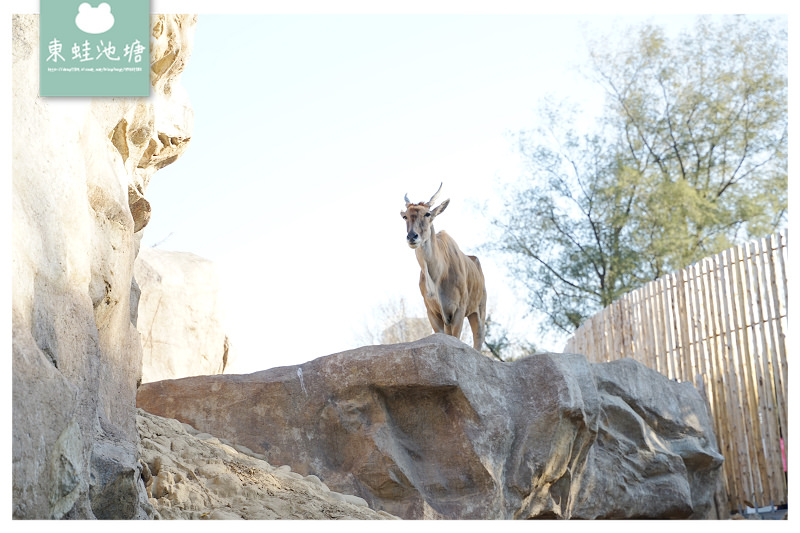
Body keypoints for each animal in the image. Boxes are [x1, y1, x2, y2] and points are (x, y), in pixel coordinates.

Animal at [400, 181, 488, 352]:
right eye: (405, 216)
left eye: (427, 214)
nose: (412, 237)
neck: (438, 275)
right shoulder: (434, 313)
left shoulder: (458, 310)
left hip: (479, 312)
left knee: (478, 343)